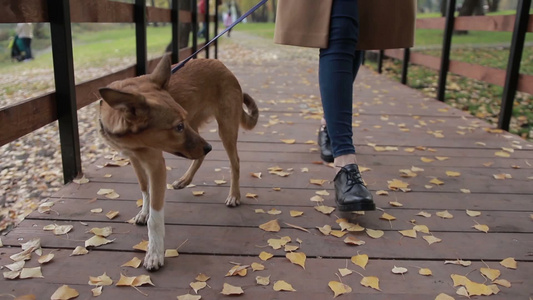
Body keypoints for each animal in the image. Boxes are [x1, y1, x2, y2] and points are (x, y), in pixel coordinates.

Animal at [100, 54, 260, 270]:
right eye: (178, 127)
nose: (209, 147)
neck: (133, 139)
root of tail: (221, 64)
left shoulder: (156, 165)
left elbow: (155, 218)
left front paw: (155, 253)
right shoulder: (135, 159)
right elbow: (144, 189)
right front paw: (144, 211)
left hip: (224, 128)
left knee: (234, 162)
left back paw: (234, 195)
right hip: (198, 130)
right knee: (200, 156)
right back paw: (185, 179)